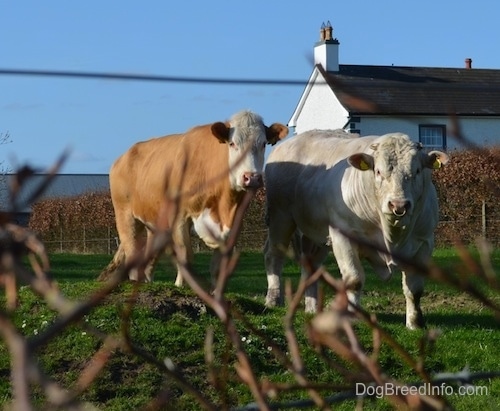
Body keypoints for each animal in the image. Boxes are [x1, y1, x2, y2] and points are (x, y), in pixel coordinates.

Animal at [100, 111, 290, 288]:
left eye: (263, 144)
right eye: (232, 143)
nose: (251, 178)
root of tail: (123, 157)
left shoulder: (234, 223)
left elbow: (218, 265)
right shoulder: (179, 217)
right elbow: (185, 255)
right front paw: (180, 286)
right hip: (125, 214)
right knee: (132, 250)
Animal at [266, 130, 450, 330]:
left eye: (416, 171)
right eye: (378, 171)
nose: (398, 205)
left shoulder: (424, 242)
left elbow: (414, 288)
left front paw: (415, 323)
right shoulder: (342, 236)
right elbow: (354, 280)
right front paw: (352, 316)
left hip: (315, 235)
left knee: (310, 265)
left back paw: (312, 308)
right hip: (280, 217)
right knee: (274, 254)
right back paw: (273, 299)